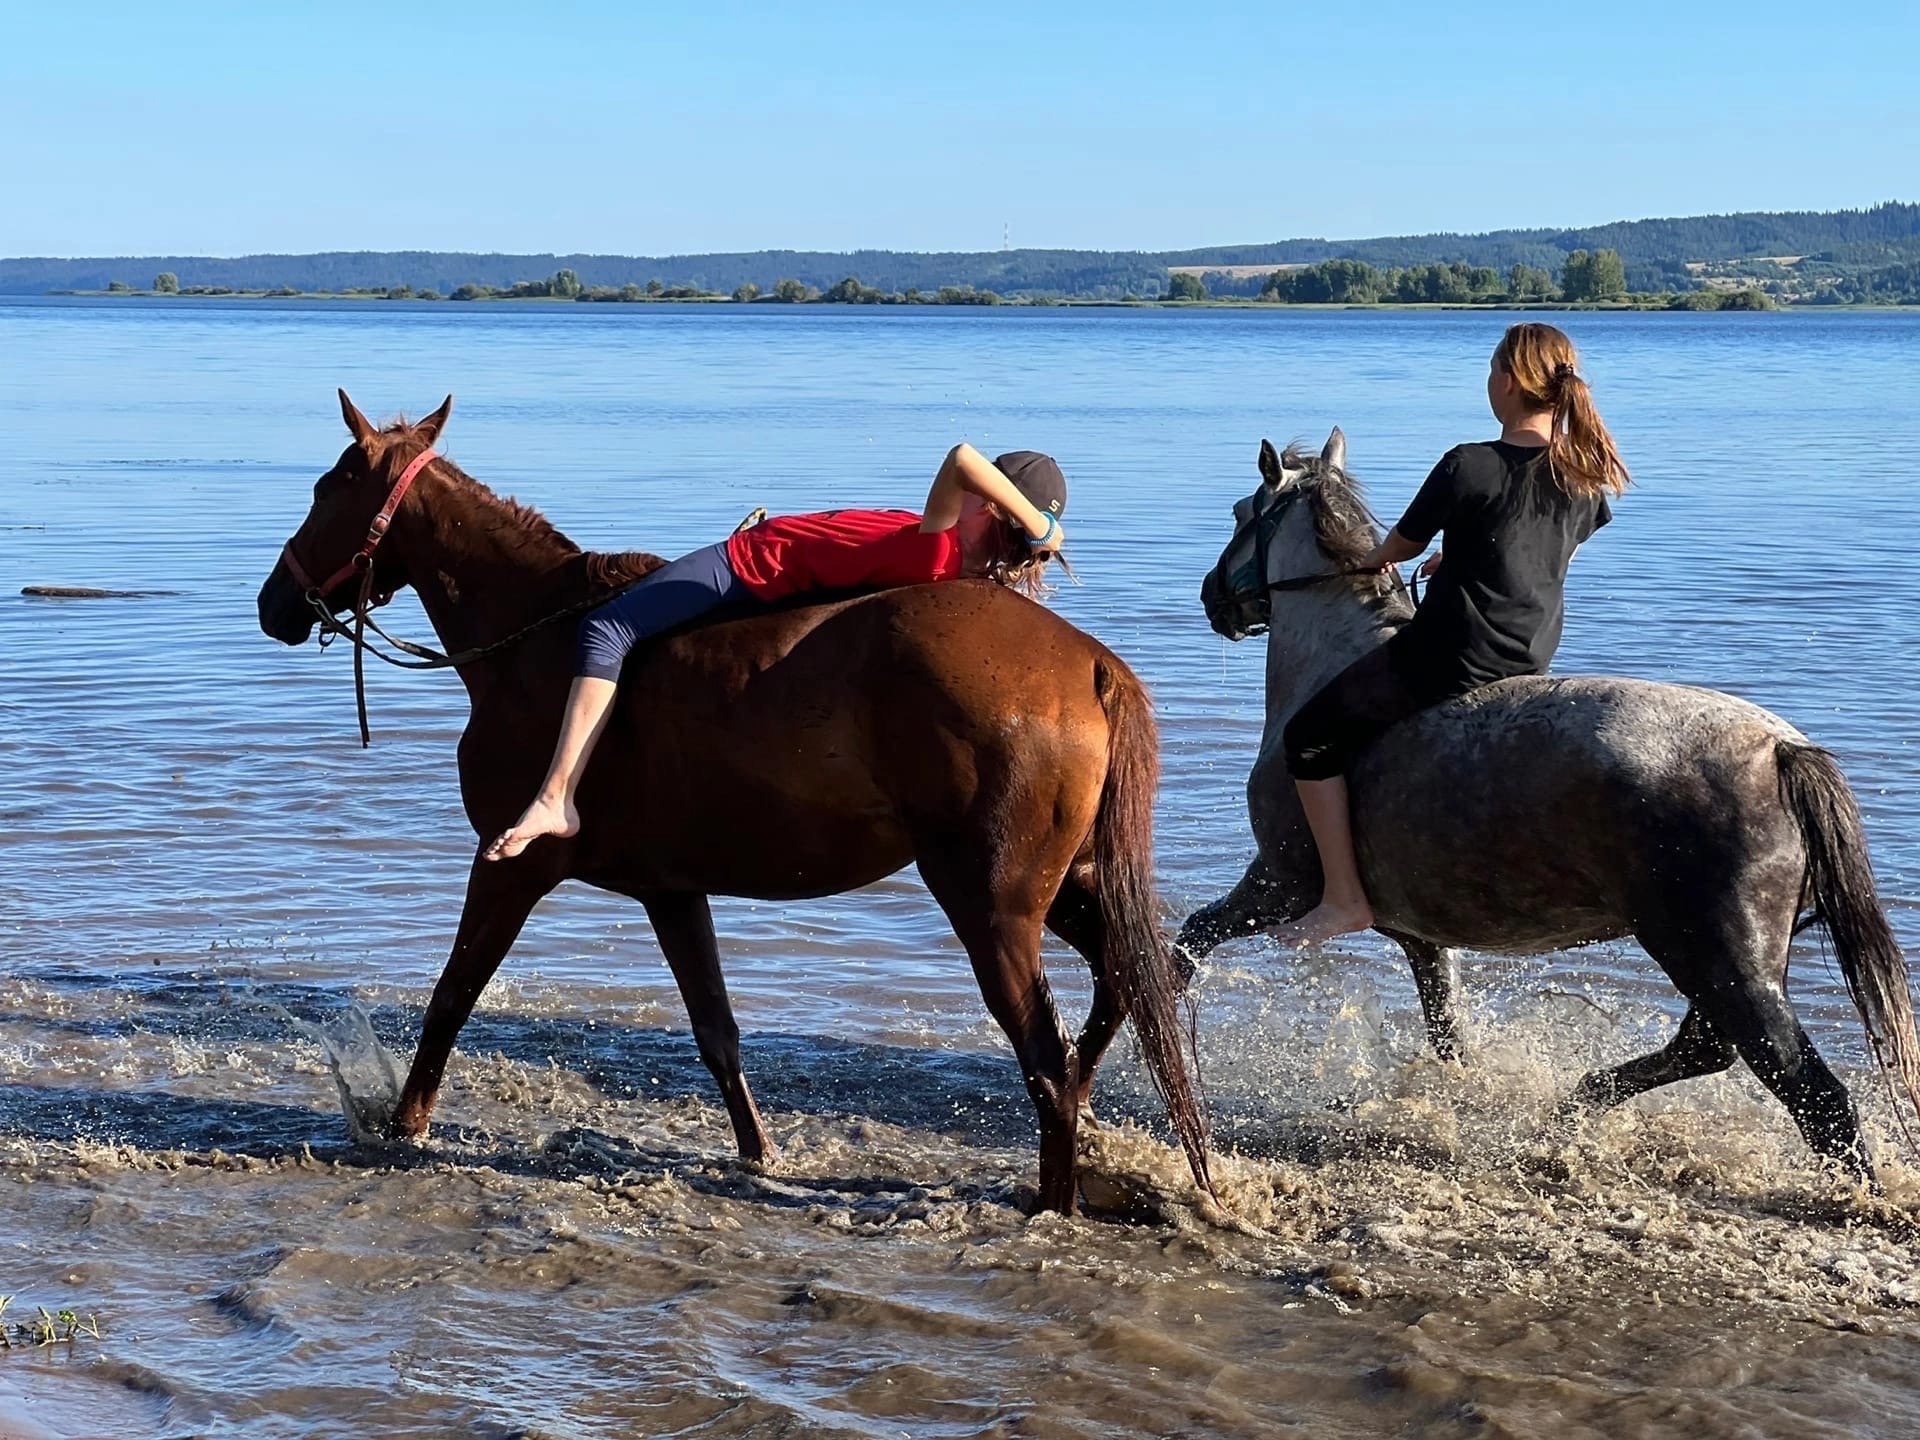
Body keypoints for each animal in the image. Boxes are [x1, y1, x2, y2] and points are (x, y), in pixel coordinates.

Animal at [255, 397, 1205, 1221]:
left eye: (328, 486)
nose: (274, 605)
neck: (534, 637)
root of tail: (1088, 663)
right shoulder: (672, 890)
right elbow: (717, 1032)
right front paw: (759, 1154)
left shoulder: (512, 865)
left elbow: (452, 996)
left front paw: (402, 1126)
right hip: (1062, 886)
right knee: (1135, 976)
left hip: (992, 906)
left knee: (1048, 1062)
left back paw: (1055, 1198)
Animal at [1182, 432, 1920, 1182]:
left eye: (1241, 512)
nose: (1213, 597)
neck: (1328, 661)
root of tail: (1779, 751)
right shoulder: (1420, 936)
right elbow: (1448, 1032)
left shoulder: (1280, 885)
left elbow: (1190, 942)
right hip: (1728, 957)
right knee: (1707, 1048)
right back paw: (1575, 1105)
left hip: (1716, 954)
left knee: (1810, 1091)